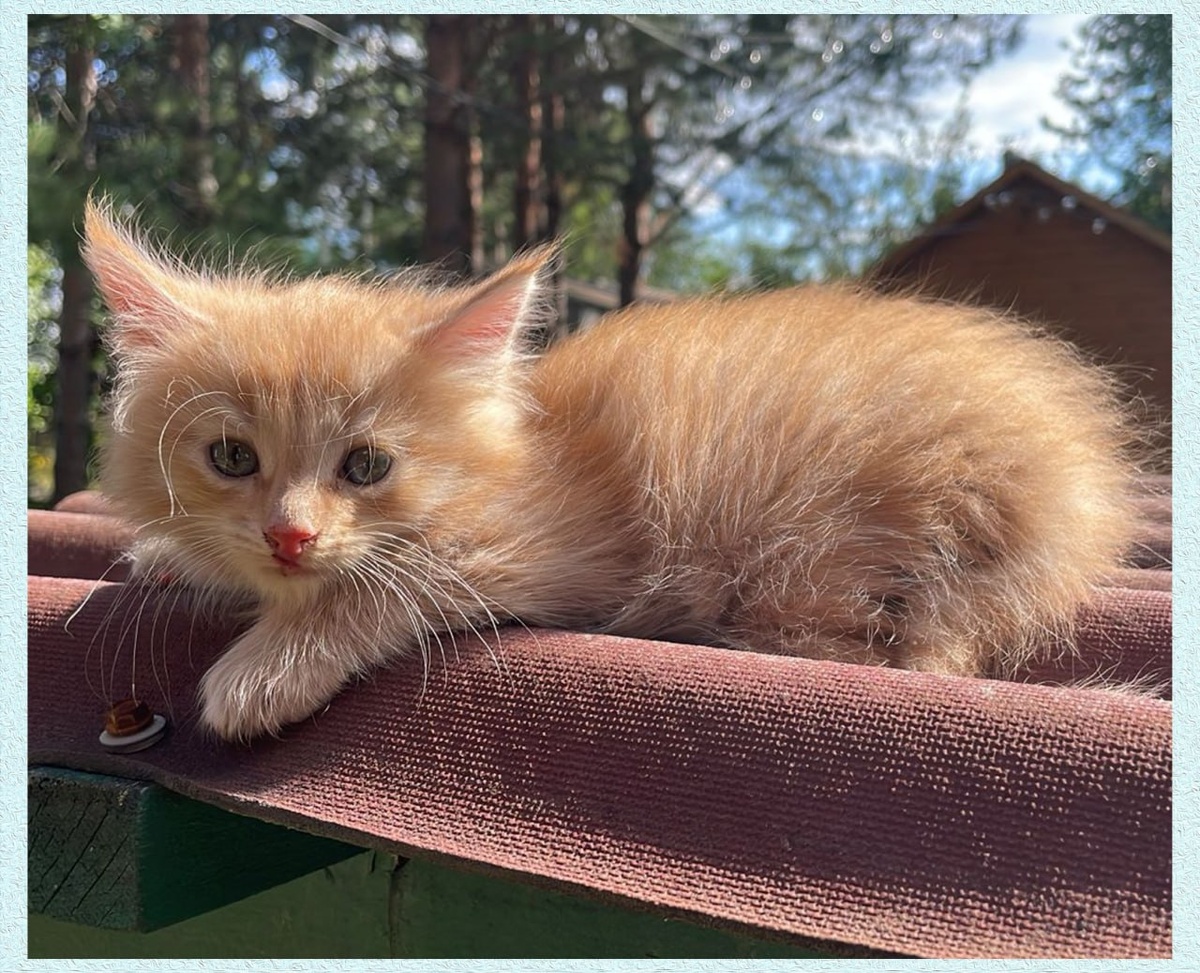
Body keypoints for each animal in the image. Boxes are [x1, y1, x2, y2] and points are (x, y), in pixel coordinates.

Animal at [82, 197, 1142, 742]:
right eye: (231, 456)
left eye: (367, 464)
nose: (289, 534)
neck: (524, 439)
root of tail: (1073, 490)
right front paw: (167, 556)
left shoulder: (561, 550)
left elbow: (385, 581)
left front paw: (264, 672)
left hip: (827, 550)